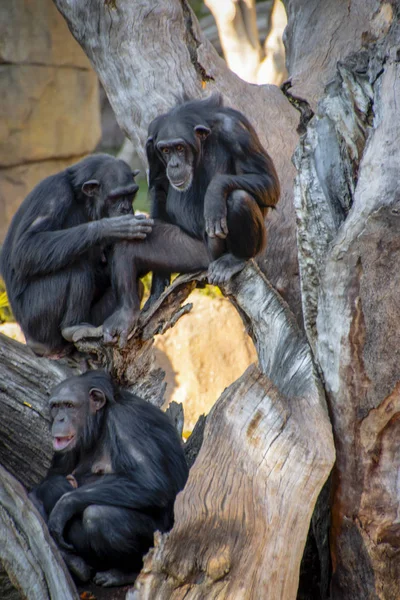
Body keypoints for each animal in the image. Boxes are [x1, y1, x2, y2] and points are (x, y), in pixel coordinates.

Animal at [0, 155, 153, 358]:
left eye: (131, 194)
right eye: (115, 197)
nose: (126, 207)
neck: (81, 199)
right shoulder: (54, 195)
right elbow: (26, 247)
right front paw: (112, 227)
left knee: (136, 285)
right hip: (35, 320)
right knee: (76, 267)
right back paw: (72, 328)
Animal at [29, 370, 189, 584]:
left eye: (70, 405)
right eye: (56, 406)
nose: (60, 419)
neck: (100, 422)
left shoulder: (126, 422)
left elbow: (151, 482)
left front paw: (64, 505)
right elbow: (50, 479)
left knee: (100, 515)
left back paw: (123, 573)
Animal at [101, 96, 280, 344]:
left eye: (179, 148)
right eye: (165, 150)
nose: (174, 164)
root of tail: (209, 260)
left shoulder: (236, 132)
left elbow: (267, 179)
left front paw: (214, 192)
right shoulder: (151, 142)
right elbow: (160, 185)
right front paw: (158, 285)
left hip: (224, 249)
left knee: (238, 197)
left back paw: (234, 260)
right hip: (191, 253)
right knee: (126, 244)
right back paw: (125, 314)